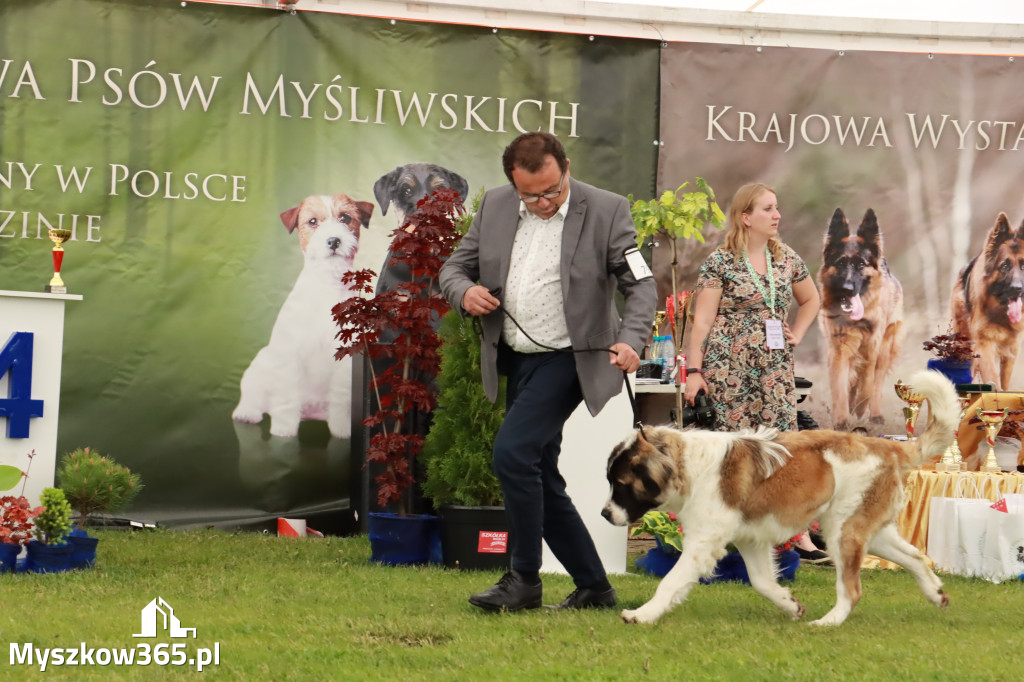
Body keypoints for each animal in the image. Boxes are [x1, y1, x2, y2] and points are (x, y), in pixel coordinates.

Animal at [232, 192, 372, 436]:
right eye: (312, 221)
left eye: (345, 218)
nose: (333, 241)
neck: (327, 282)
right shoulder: (290, 354)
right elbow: (287, 398)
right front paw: (283, 431)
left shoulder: (345, 361)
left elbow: (342, 398)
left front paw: (342, 429)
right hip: (261, 362)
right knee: (254, 393)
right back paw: (247, 412)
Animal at [602, 368, 954, 622]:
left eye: (620, 484)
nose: (604, 514)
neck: (688, 465)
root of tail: (885, 445)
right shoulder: (750, 539)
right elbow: (761, 581)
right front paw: (789, 604)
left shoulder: (702, 544)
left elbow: (670, 581)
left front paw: (641, 614)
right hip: (865, 530)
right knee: (916, 556)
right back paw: (935, 593)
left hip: (844, 533)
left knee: (852, 589)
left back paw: (826, 623)